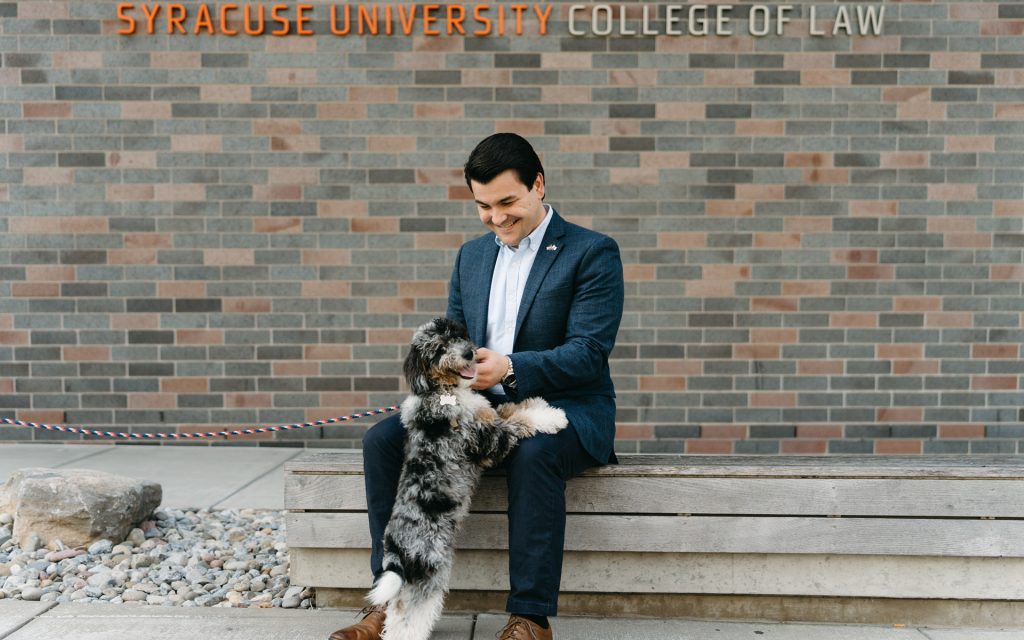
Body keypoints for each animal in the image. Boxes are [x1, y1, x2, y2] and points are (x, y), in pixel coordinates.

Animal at [366, 317, 569, 638]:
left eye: (456, 335)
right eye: (438, 349)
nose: (468, 354)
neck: (441, 391)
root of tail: (396, 549)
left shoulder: (489, 416)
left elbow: (511, 407)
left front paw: (539, 403)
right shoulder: (490, 441)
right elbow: (518, 420)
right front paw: (554, 417)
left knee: (397, 611)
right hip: (430, 569)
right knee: (411, 616)